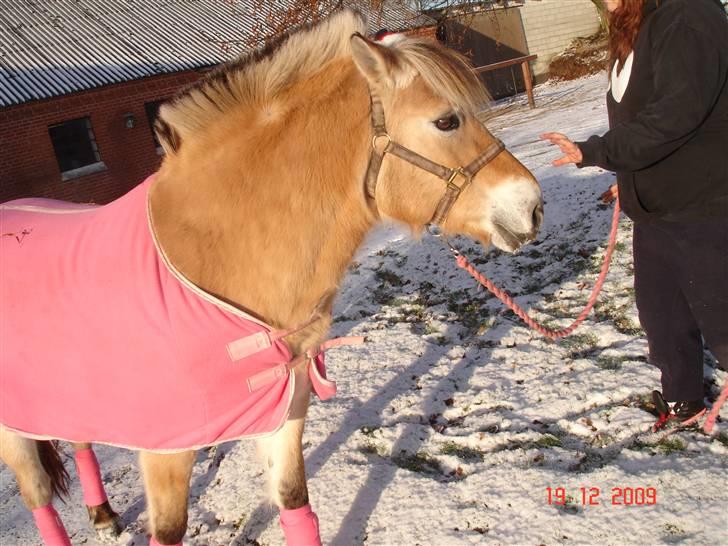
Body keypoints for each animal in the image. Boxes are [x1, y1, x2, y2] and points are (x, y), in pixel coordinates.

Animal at [0, 9, 540, 544]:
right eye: (446, 120)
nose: (531, 206)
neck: (217, 256)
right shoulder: (165, 451)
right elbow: (168, 531)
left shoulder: (283, 415)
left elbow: (295, 504)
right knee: (39, 496)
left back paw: (102, 513)